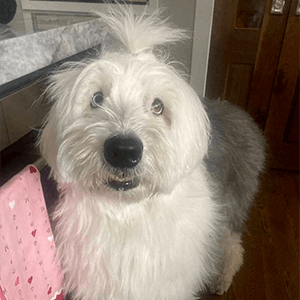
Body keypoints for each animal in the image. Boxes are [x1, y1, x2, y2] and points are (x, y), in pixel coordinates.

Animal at [39, 5, 264, 300]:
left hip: (231, 206)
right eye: (97, 99)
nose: (123, 151)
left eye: (158, 106)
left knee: (233, 246)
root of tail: (236, 110)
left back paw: (222, 280)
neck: (128, 213)